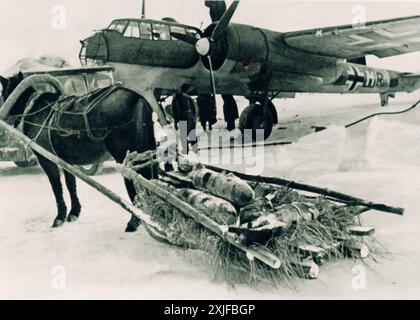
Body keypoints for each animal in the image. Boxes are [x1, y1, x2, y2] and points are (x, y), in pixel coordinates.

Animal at [0, 73, 157, 230]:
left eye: (4, 90)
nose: (5, 116)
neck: (34, 109)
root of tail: (138, 98)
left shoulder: (47, 160)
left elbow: (56, 186)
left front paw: (60, 216)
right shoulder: (67, 160)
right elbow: (71, 184)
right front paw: (74, 212)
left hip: (124, 155)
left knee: (135, 180)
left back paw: (135, 220)